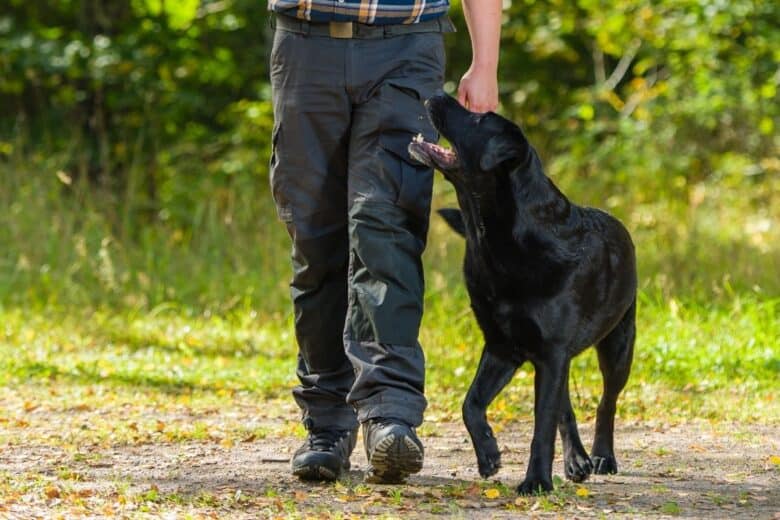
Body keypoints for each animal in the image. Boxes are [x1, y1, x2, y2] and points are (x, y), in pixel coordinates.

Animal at [408, 93, 632, 496]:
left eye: (479, 120)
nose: (436, 94)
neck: (496, 237)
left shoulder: (551, 352)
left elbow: (541, 426)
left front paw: (536, 480)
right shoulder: (503, 347)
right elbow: (471, 403)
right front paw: (489, 456)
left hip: (619, 341)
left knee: (607, 401)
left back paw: (601, 457)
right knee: (565, 405)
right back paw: (576, 461)